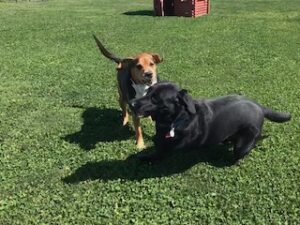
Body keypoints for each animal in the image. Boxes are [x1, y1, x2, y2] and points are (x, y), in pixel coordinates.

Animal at [129, 82, 290, 163]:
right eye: (148, 92)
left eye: (155, 98)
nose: (131, 103)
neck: (176, 119)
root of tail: (259, 106)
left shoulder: (168, 150)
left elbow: (158, 154)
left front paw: (145, 158)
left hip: (243, 145)